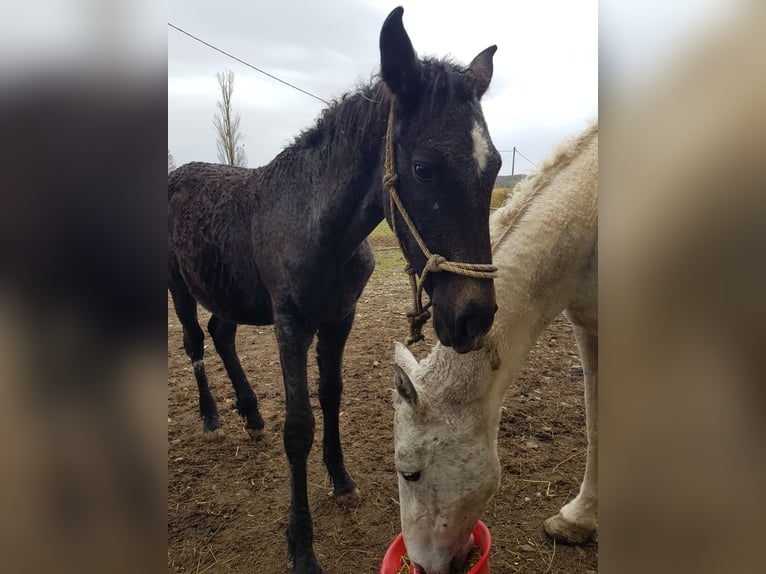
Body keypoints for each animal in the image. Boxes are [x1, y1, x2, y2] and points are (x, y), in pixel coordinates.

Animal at [168, 7, 501, 573]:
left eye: (496, 165)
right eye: (423, 169)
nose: (473, 318)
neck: (314, 223)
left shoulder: (340, 317)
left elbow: (331, 395)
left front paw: (342, 480)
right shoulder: (291, 325)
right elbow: (299, 425)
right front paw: (302, 547)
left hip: (229, 291)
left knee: (221, 333)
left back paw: (250, 412)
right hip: (177, 284)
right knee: (194, 340)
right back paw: (213, 417)